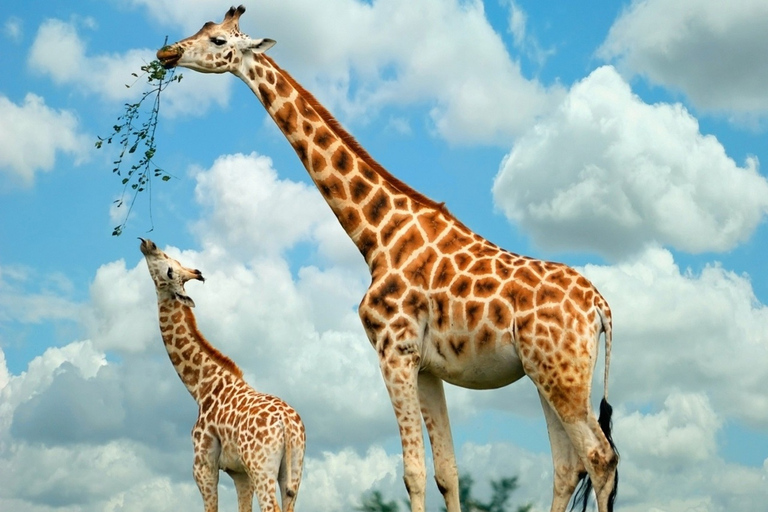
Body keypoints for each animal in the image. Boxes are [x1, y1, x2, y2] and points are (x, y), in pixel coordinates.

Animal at [141, 240, 306, 512]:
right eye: (173, 261)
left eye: (169, 270)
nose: (147, 244)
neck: (201, 387)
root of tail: (288, 424)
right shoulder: (239, 473)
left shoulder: (203, 466)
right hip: (293, 470)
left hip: (262, 467)